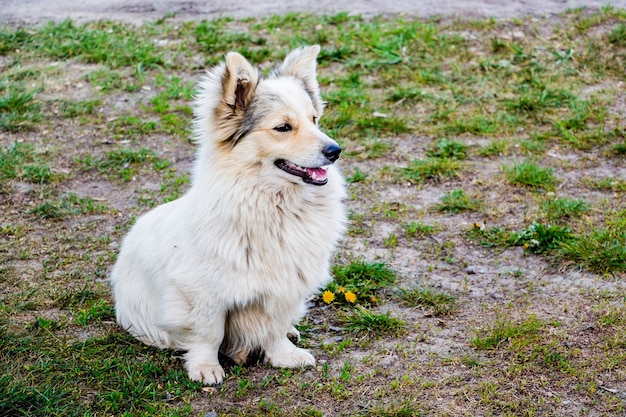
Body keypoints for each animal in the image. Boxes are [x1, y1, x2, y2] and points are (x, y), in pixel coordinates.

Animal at [112, 44, 346, 384]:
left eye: (314, 119)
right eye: (283, 127)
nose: (335, 151)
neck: (272, 205)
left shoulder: (284, 287)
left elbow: (274, 328)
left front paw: (283, 355)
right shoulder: (202, 293)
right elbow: (209, 334)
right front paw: (205, 368)